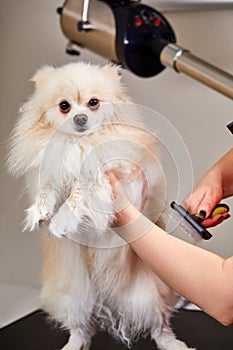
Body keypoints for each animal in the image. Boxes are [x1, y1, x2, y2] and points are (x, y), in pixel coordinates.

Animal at [7, 61, 193, 348]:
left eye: (93, 103)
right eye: (64, 106)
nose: (80, 118)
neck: (80, 143)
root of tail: (106, 300)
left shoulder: (106, 174)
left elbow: (78, 195)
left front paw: (60, 222)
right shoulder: (52, 171)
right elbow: (47, 191)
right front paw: (39, 214)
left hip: (148, 294)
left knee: (159, 323)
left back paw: (171, 343)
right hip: (74, 297)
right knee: (81, 328)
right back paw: (73, 343)